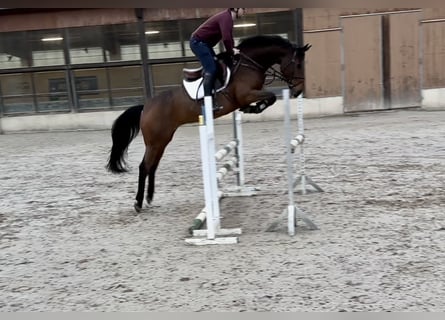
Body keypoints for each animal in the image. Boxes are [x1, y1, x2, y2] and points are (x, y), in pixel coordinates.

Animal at [106, 35, 310, 211]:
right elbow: (271, 97)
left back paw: (149, 198)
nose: (298, 91)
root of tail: (146, 106)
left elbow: (270, 98)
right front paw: (255, 108)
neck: (249, 64)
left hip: (162, 140)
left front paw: (252, 109)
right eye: (298, 64)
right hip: (154, 142)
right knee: (144, 167)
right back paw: (138, 202)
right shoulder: (245, 95)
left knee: (152, 166)